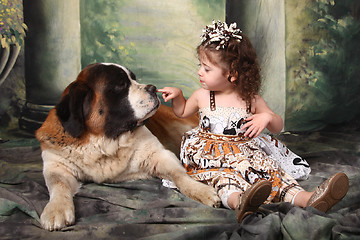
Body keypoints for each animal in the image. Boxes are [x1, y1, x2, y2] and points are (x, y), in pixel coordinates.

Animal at [37, 63, 222, 231]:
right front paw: (56, 210)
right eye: (120, 84)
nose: (153, 88)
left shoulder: (159, 154)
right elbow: (59, 184)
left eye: (134, 78)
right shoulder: (56, 164)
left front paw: (200, 190)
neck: (106, 140)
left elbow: (179, 175)